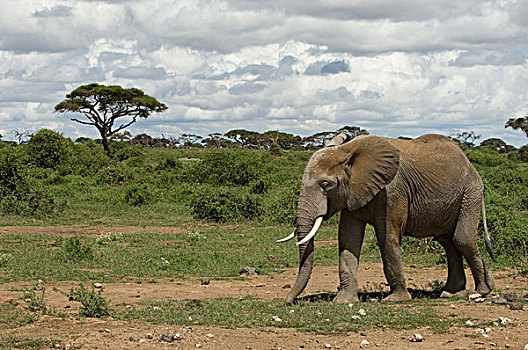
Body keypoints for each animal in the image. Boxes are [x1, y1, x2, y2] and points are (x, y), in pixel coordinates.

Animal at [276, 133, 496, 304]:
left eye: (325, 185)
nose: (288, 301)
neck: (348, 151)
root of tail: (471, 165)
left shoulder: (392, 191)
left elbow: (387, 237)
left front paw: (395, 300)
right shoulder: (353, 192)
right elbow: (348, 238)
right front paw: (343, 301)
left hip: (470, 193)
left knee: (462, 239)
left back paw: (481, 292)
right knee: (448, 242)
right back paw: (454, 293)